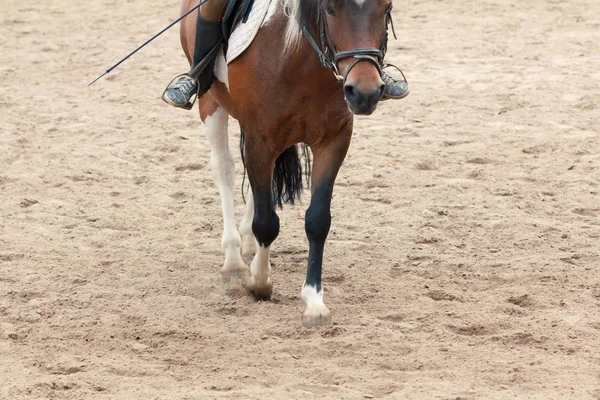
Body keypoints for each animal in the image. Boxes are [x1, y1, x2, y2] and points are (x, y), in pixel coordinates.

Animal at [178, 0, 394, 324]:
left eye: (387, 7)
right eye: (330, 9)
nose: (365, 92)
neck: (300, 64)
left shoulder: (334, 142)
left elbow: (317, 220)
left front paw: (314, 301)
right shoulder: (260, 141)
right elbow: (267, 222)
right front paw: (259, 283)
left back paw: (248, 244)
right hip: (211, 103)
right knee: (225, 169)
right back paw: (233, 258)